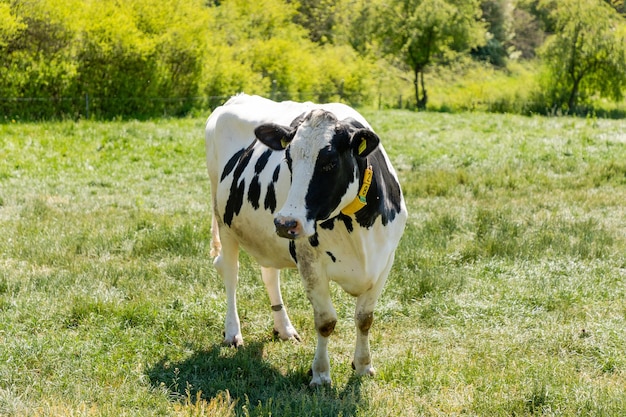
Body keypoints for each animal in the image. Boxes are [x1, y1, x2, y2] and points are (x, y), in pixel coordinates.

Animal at [205, 92, 408, 386]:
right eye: (288, 160)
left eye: (330, 163)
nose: (285, 222)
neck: (358, 230)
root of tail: (236, 98)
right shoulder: (310, 262)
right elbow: (326, 322)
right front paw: (321, 374)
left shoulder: (385, 261)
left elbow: (364, 318)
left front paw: (363, 365)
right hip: (224, 222)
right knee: (230, 273)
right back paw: (233, 332)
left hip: (265, 237)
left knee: (269, 274)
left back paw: (284, 328)